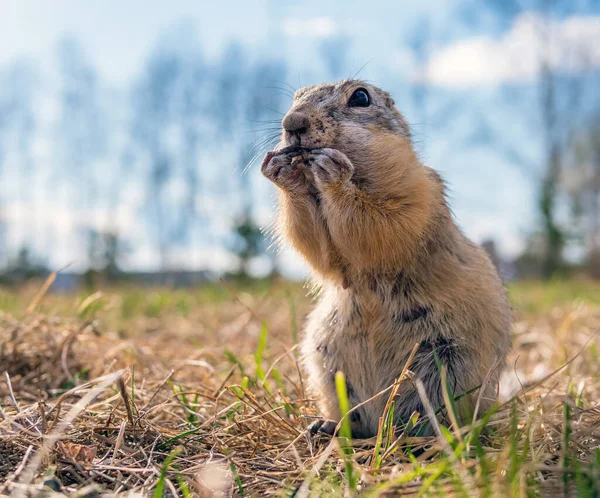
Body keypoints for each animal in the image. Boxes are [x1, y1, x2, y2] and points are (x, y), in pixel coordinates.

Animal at [260, 79, 508, 436]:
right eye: (296, 97)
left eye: (361, 97)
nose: (291, 123)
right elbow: (319, 249)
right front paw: (281, 171)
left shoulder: (417, 189)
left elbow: (383, 222)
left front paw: (332, 171)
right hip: (329, 368)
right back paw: (326, 426)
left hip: (447, 367)